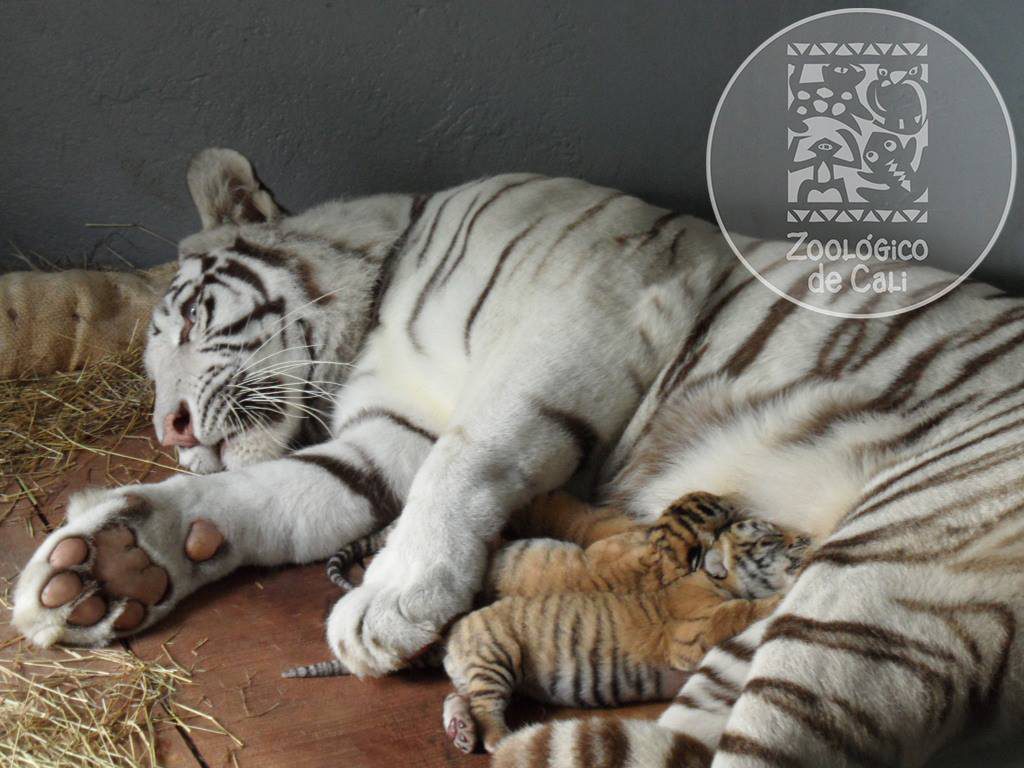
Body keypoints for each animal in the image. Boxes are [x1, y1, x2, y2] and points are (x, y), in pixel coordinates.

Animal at [286, 491, 807, 754]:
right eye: (765, 537)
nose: (798, 537)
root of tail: (453, 632)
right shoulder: (689, 634)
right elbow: (739, 611)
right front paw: (781, 592)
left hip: (475, 667)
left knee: (458, 696)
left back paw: (460, 730)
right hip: (495, 659)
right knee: (488, 713)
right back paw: (497, 740)